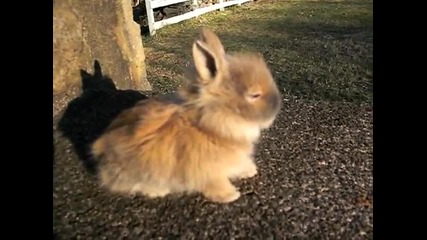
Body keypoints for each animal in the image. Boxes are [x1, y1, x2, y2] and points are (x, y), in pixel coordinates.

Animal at [91, 28, 280, 204]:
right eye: (254, 95)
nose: (277, 106)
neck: (211, 125)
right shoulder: (206, 170)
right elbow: (214, 183)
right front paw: (229, 195)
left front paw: (249, 170)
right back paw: (158, 191)